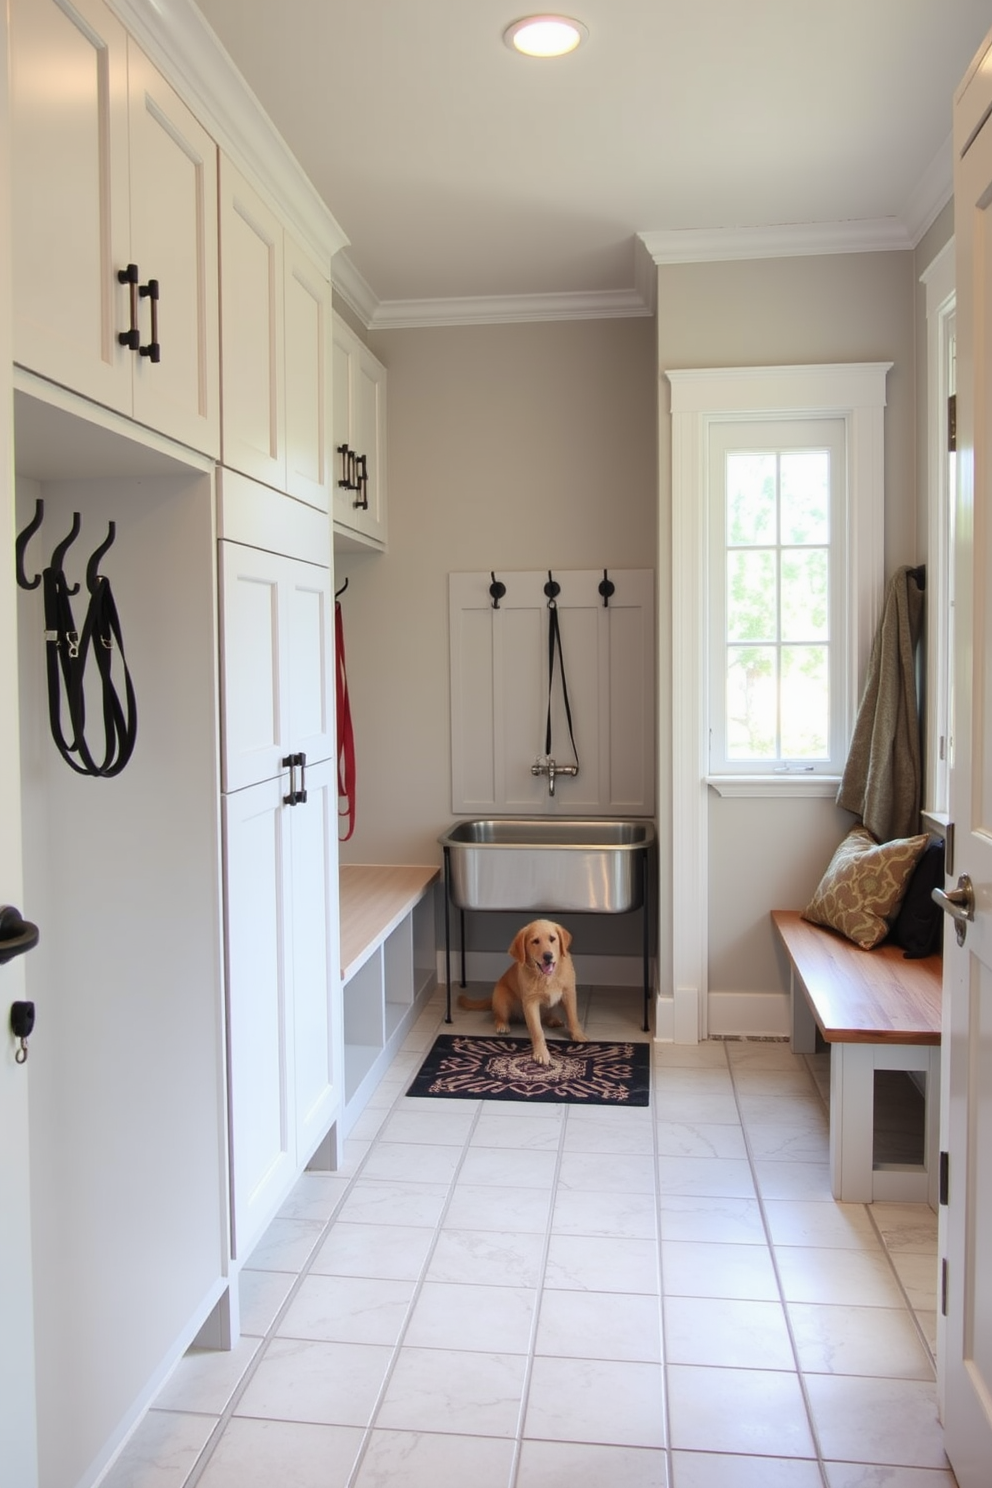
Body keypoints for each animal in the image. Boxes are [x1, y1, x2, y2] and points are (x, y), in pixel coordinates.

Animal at [461, 910, 588, 1065]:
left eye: (552, 939)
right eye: (535, 941)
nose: (548, 956)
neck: (546, 977)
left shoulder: (569, 993)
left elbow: (573, 1017)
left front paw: (578, 1034)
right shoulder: (530, 1002)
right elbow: (537, 1030)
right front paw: (541, 1053)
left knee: (547, 1015)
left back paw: (553, 1020)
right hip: (502, 998)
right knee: (499, 1015)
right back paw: (502, 1025)